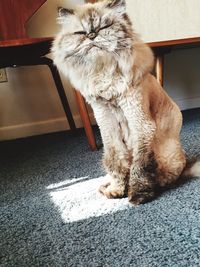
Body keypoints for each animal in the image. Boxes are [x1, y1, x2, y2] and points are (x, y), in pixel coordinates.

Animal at [52, 0, 200, 205]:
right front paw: (117, 190)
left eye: (103, 27)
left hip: (167, 154)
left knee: (167, 175)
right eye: (80, 33)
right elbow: (116, 160)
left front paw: (138, 194)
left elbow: (140, 166)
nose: (91, 35)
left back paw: (156, 184)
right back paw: (105, 187)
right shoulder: (106, 120)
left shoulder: (139, 122)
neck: (104, 71)